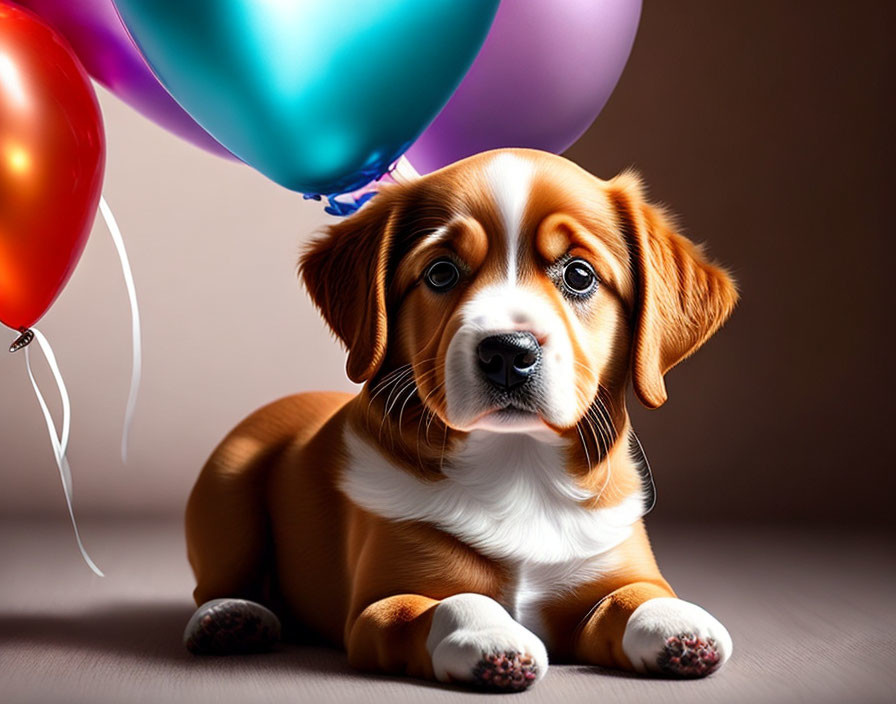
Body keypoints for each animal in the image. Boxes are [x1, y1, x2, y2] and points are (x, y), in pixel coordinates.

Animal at [182, 146, 736, 692]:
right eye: (441, 273)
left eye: (580, 275)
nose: (508, 352)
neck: (519, 468)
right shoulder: (381, 605)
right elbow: (456, 602)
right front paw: (492, 636)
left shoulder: (613, 568)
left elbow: (638, 593)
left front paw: (678, 623)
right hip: (227, 488)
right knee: (217, 580)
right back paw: (230, 617)